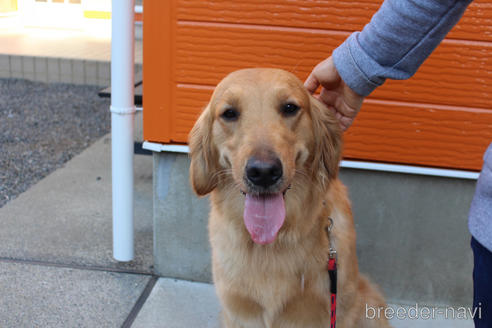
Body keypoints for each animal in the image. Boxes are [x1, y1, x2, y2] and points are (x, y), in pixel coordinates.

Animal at [188, 68, 392, 326]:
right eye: (229, 113)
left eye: (289, 108)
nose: (263, 172)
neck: (273, 242)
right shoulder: (237, 311)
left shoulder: (337, 308)